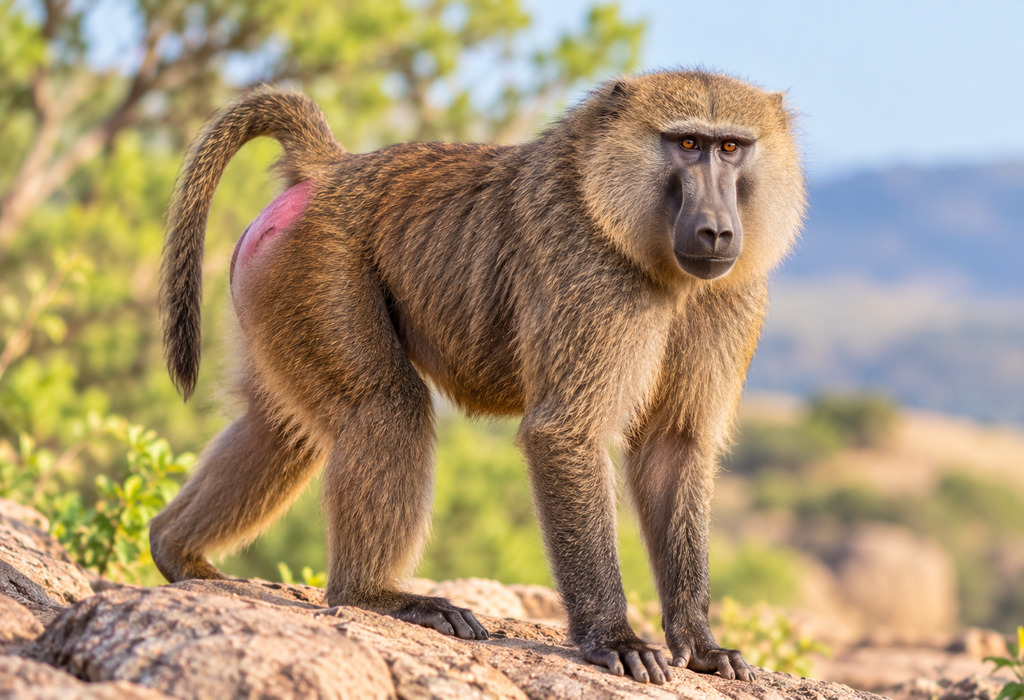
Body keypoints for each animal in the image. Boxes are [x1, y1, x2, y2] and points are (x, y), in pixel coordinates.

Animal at [150, 69, 805, 685]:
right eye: (688, 143)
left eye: (731, 148)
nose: (716, 231)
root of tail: (334, 169)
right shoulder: (591, 276)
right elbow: (564, 434)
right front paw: (614, 640)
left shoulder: (730, 296)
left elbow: (674, 446)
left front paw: (701, 644)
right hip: (315, 267)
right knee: (385, 407)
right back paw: (374, 597)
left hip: (275, 289)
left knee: (279, 431)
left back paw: (173, 548)